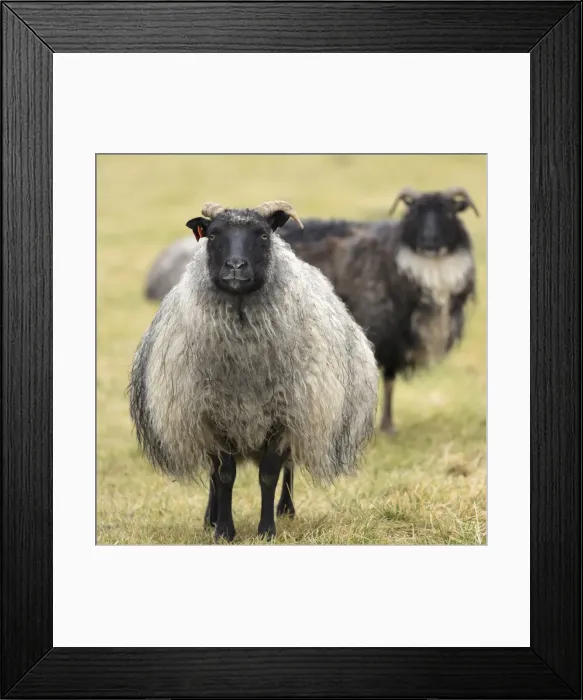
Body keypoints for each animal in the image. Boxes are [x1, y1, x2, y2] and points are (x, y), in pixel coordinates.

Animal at [129, 200, 378, 542]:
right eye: (213, 234)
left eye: (262, 234)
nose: (235, 267)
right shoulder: (212, 415)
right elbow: (224, 476)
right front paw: (223, 529)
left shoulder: (285, 414)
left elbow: (269, 475)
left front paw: (267, 530)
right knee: (213, 474)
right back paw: (210, 517)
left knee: (288, 467)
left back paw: (286, 509)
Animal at [279, 187, 479, 434]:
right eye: (414, 213)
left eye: (450, 213)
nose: (428, 241)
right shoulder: (384, 333)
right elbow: (385, 379)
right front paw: (384, 426)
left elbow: (389, 380)